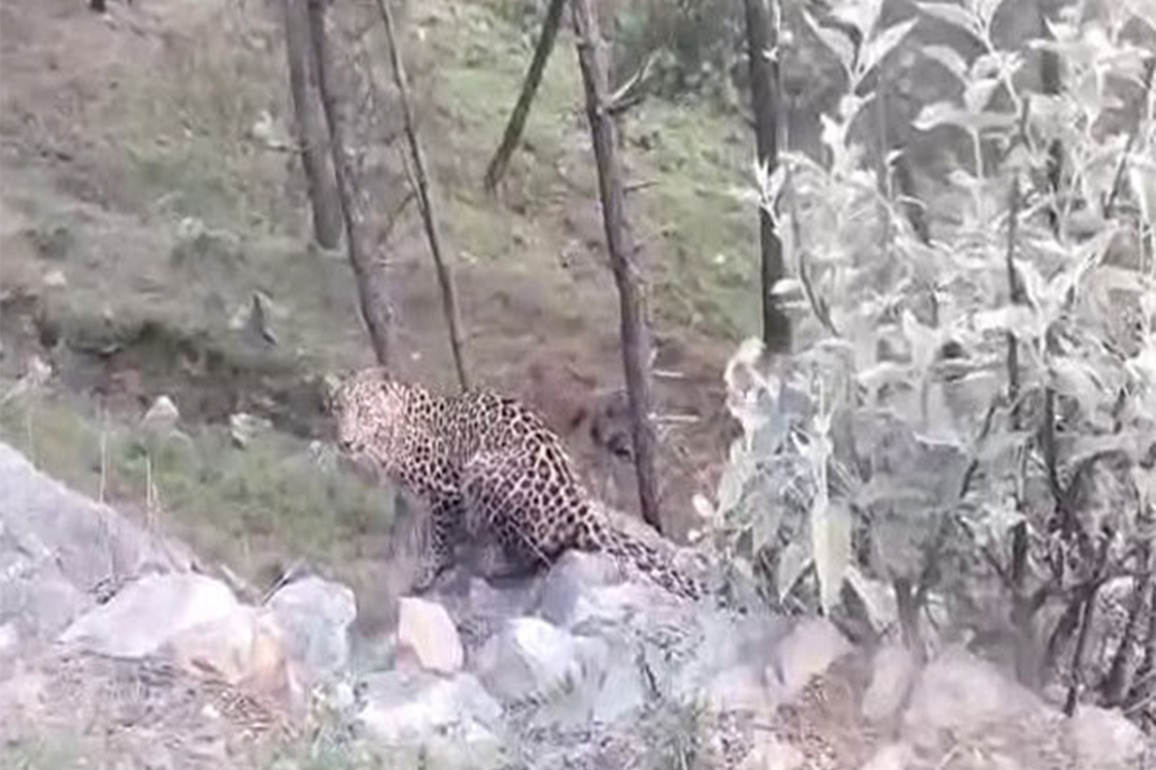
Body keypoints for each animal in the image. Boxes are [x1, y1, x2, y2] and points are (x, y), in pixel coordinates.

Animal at [332, 367, 703, 600]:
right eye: (338, 409)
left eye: (364, 413)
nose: (345, 442)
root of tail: (577, 505)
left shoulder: (446, 491)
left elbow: (439, 538)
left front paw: (429, 570)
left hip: (481, 468)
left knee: (535, 553)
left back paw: (494, 562)